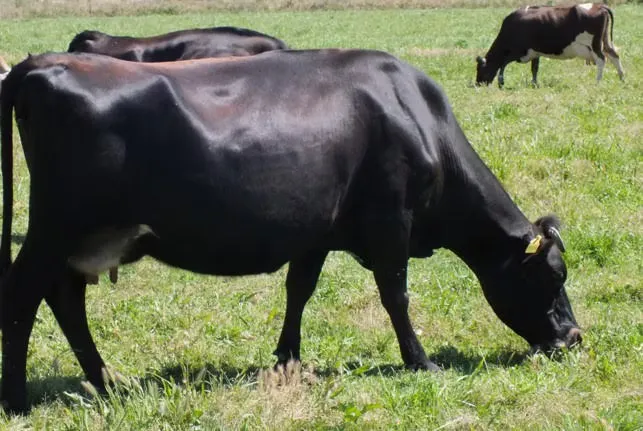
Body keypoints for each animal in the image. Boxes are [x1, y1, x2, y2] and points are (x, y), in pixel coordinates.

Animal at [0, 51, 581, 413]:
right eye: (552, 278)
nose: (574, 338)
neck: (415, 116)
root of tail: (42, 63)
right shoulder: (390, 221)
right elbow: (396, 295)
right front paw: (421, 361)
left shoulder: (317, 232)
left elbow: (298, 290)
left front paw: (287, 360)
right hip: (56, 228)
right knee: (24, 294)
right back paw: (17, 399)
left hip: (79, 240)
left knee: (65, 298)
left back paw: (105, 382)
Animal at [476, 3, 624, 87]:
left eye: (480, 69)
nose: (478, 84)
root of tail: (599, 6)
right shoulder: (534, 52)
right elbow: (534, 68)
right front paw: (534, 84)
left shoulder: (520, 51)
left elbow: (503, 63)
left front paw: (501, 82)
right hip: (605, 41)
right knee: (614, 55)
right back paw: (622, 78)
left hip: (594, 44)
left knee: (601, 60)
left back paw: (598, 82)